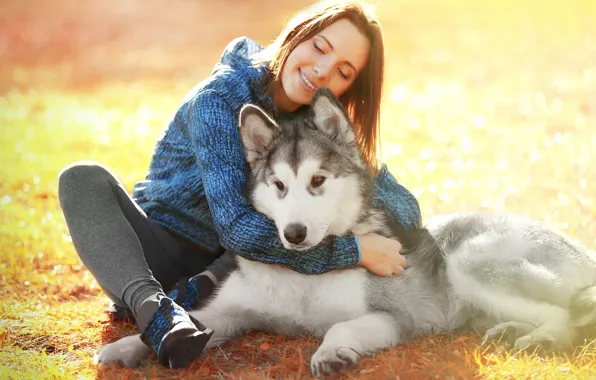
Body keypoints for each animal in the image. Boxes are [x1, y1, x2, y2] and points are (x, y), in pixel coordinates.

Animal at [96, 87, 596, 376]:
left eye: (317, 180)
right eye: (279, 185)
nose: (294, 234)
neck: (303, 274)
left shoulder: (395, 317)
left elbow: (340, 328)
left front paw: (331, 354)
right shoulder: (231, 310)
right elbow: (194, 319)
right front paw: (129, 347)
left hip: (470, 259)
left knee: (568, 318)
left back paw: (539, 337)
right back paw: (510, 329)